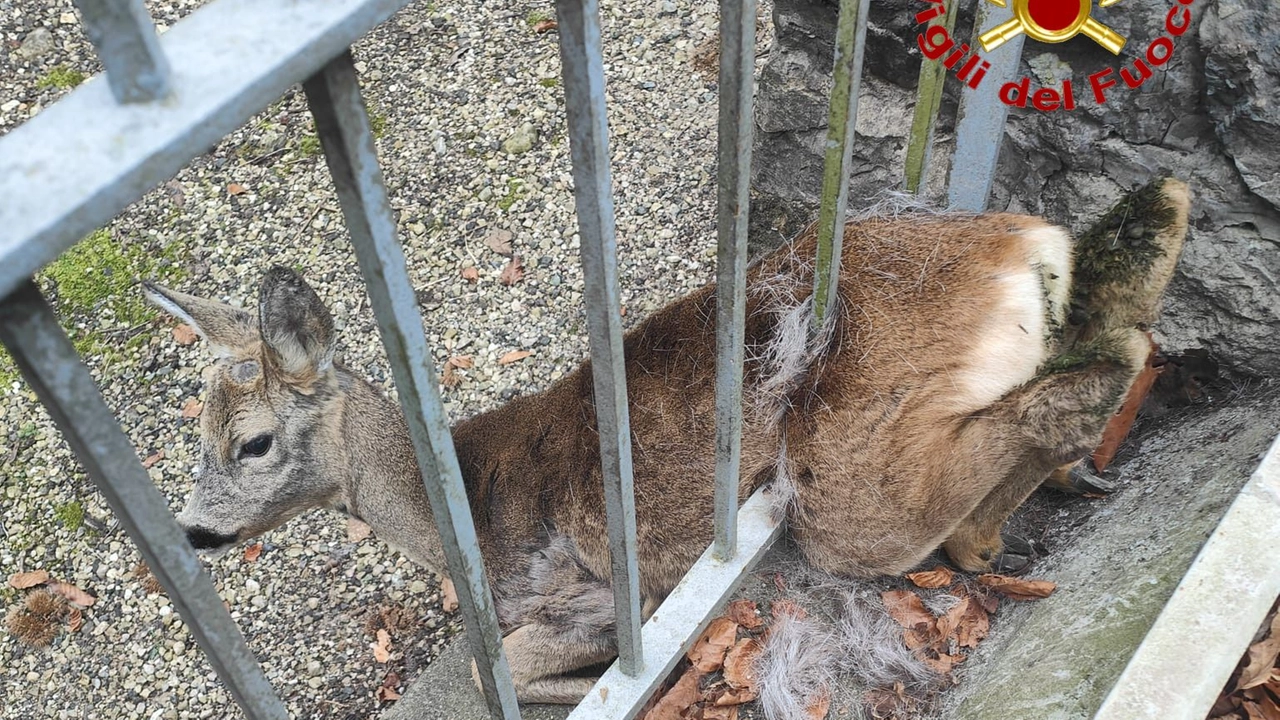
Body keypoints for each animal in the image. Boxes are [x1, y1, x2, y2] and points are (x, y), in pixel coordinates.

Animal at [140, 176, 1187, 702]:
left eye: (253, 444)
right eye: (195, 434)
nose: (193, 531)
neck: (459, 515)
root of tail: (1021, 247)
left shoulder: (595, 591)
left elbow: (504, 668)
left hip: (845, 487)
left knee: (1086, 379)